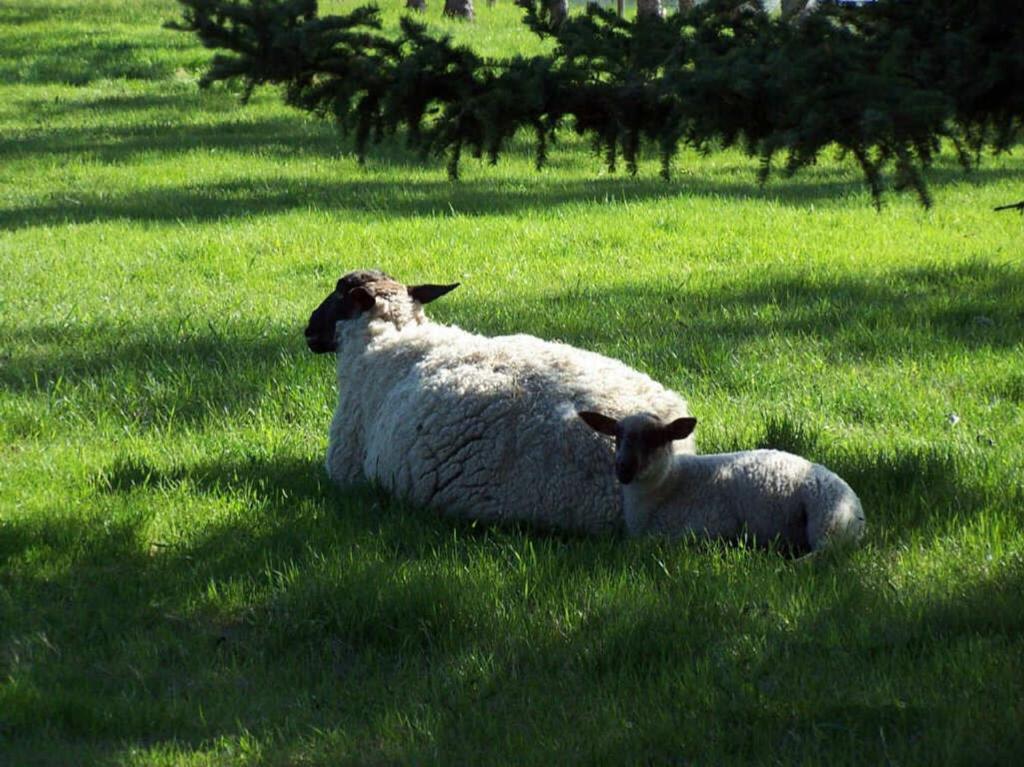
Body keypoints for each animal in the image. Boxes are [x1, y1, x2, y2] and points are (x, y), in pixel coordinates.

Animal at [577, 409, 864, 548]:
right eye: (616, 436)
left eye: (656, 439)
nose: (623, 468)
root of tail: (858, 512)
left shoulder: (708, 525)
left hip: (827, 518)